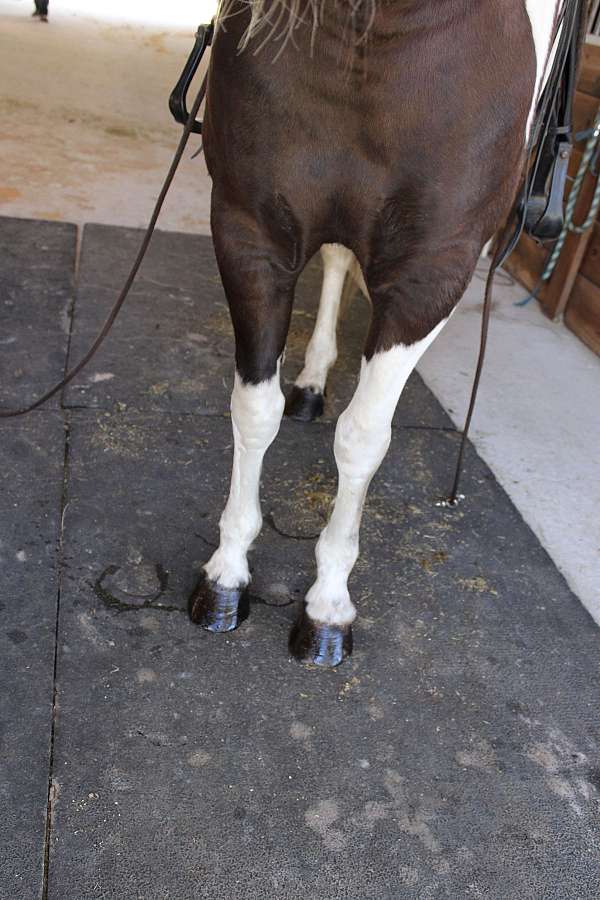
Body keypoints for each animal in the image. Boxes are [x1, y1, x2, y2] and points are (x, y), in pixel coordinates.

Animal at [187, 0, 562, 666]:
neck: (374, 37)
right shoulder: (248, 231)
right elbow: (255, 408)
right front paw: (226, 574)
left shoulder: (431, 274)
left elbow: (362, 438)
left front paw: (328, 607)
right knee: (338, 257)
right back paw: (310, 383)